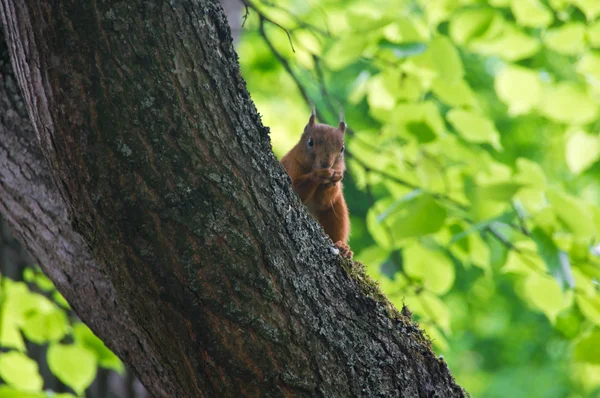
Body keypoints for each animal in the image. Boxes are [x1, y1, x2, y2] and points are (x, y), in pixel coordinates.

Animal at [280, 111, 352, 258]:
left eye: (342, 148)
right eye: (310, 142)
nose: (326, 164)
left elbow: (324, 202)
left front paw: (334, 179)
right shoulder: (290, 166)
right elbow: (295, 190)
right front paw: (319, 175)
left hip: (337, 212)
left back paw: (343, 247)